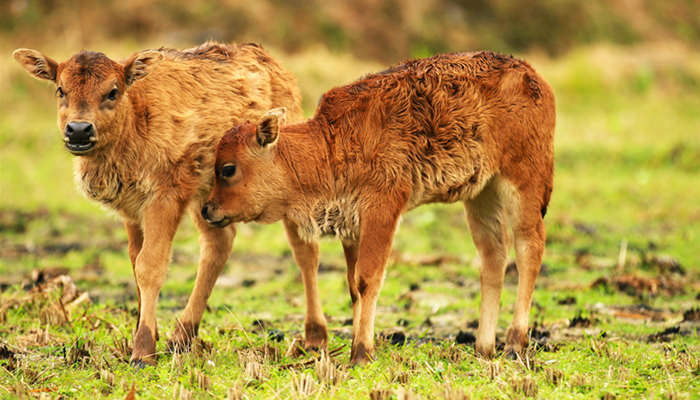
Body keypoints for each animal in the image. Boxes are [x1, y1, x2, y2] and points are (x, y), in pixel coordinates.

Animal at [13, 41, 304, 366]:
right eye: (60, 89)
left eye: (113, 91)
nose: (78, 130)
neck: (135, 117)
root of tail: (278, 69)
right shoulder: (132, 209)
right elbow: (134, 261)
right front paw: (145, 338)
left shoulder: (164, 199)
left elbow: (150, 265)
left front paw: (142, 351)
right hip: (207, 198)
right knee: (218, 243)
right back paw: (181, 337)